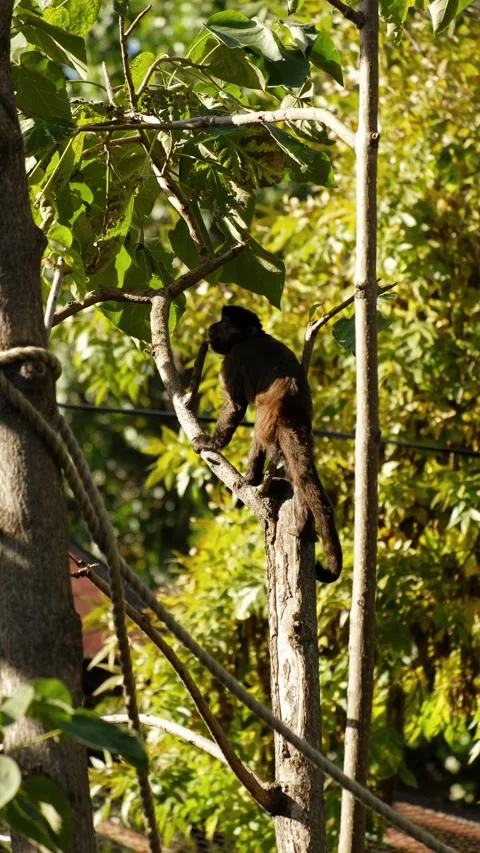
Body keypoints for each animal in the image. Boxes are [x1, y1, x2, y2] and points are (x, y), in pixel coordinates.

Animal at [192, 305, 342, 583]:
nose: (212, 327)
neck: (251, 336)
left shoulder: (234, 357)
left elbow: (235, 405)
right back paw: (302, 524)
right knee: (300, 474)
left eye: (223, 323)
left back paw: (251, 479)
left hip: (267, 423)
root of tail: (290, 411)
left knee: (259, 439)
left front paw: (211, 443)